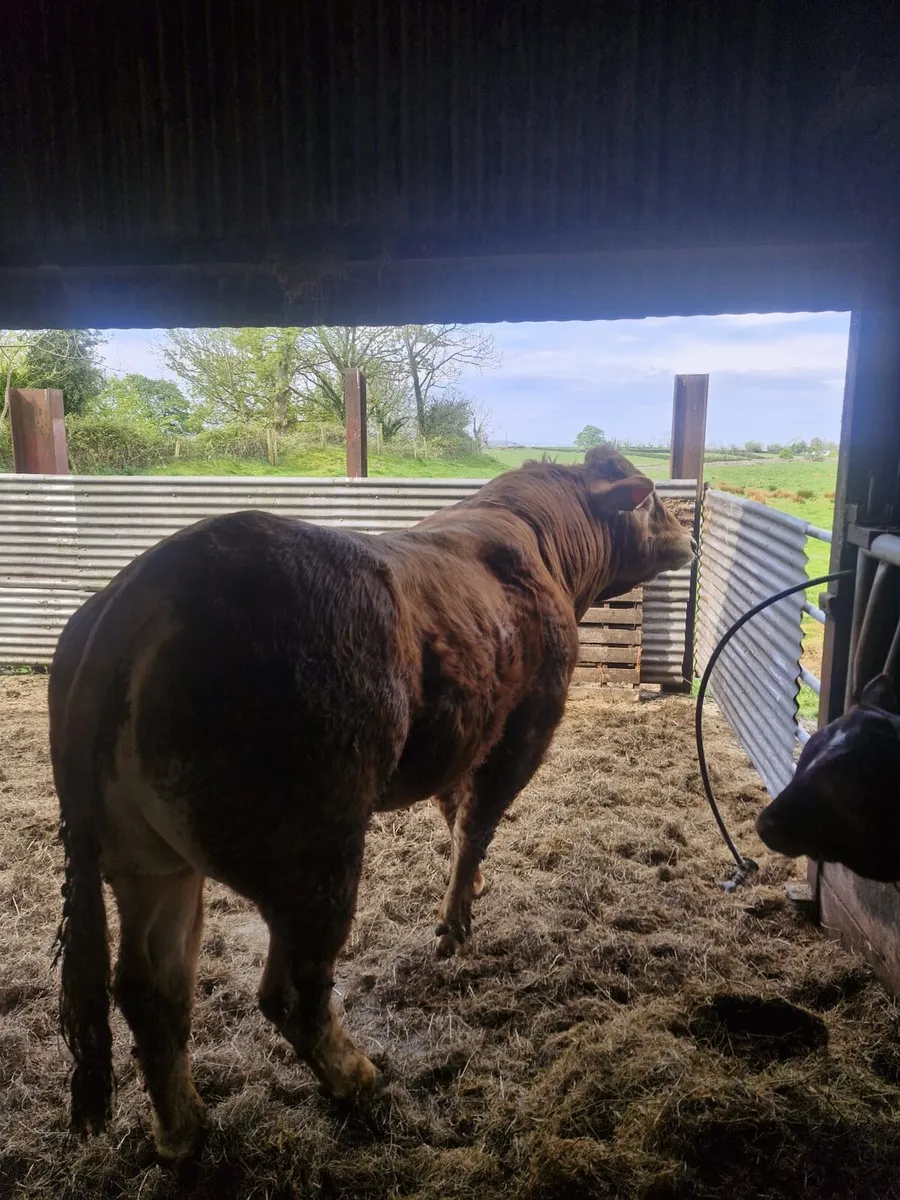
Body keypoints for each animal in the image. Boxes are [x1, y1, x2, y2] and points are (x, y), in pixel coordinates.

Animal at [49, 446, 693, 1160]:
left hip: (150, 861)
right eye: (651, 500)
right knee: (291, 989)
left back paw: (183, 1129)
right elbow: (477, 819)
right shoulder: (525, 722)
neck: (540, 539)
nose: (687, 534)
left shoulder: (462, 732)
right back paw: (356, 1078)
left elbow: (455, 810)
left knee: (149, 988)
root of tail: (136, 593)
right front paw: (455, 925)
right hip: (314, 850)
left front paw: (471, 891)